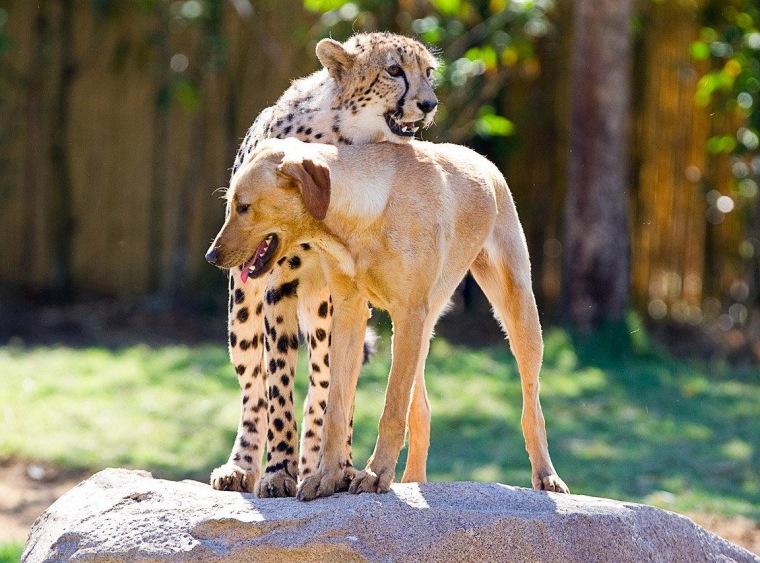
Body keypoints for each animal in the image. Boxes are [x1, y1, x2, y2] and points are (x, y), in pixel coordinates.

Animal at [212, 32, 440, 498]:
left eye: (428, 72)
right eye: (394, 71)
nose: (429, 103)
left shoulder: (349, 297)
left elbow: (340, 393)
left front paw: (342, 467)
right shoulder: (278, 286)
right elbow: (277, 387)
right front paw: (278, 471)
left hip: (321, 313)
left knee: (320, 386)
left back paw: (315, 461)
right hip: (242, 311)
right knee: (252, 389)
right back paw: (243, 465)